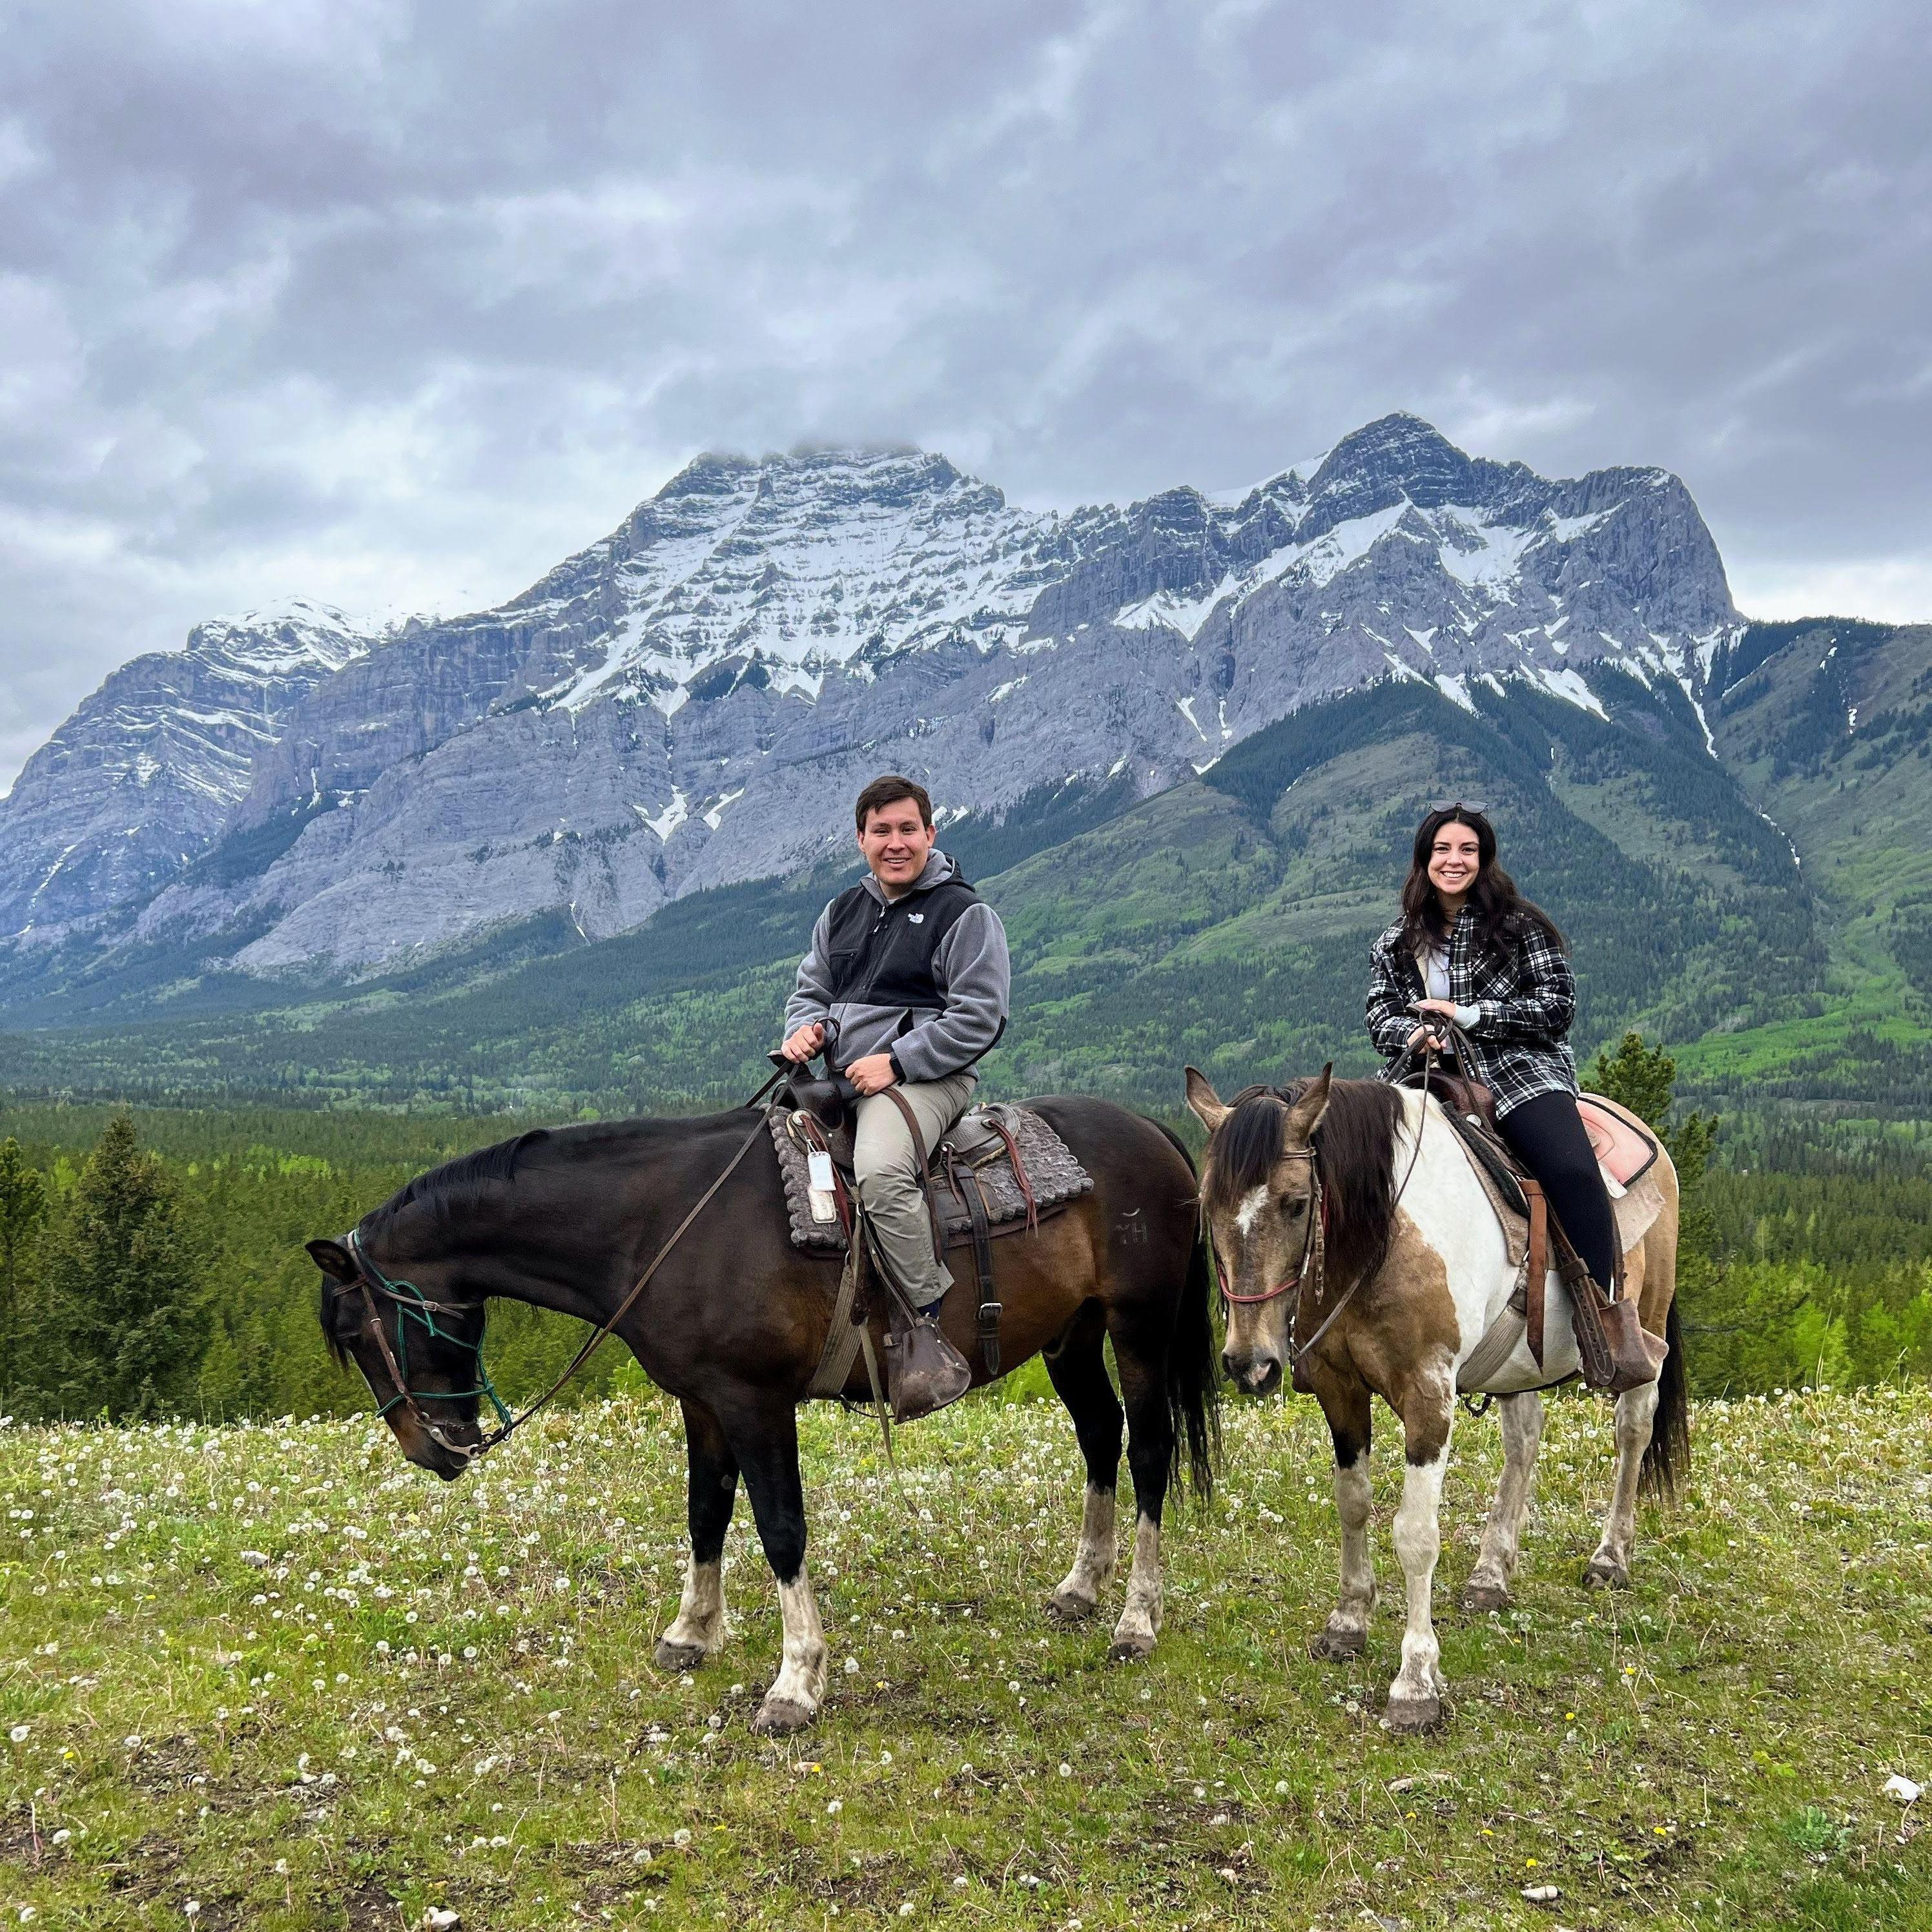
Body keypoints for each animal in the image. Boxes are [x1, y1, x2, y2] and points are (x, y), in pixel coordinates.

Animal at [309, 1097, 1213, 1746]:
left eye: (353, 1331)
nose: (433, 1451)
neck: (659, 1226)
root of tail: (1151, 1132)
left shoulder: (755, 1400)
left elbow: (780, 1528)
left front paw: (796, 1681)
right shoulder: (702, 1400)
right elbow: (705, 1511)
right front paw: (690, 1633)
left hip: (1139, 1325)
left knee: (1148, 1451)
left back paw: (1136, 1617)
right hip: (1072, 1335)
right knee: (1099, 1436)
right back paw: (1080, 1587)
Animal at [1182, 1066, 1685, 1731]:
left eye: (1296, 1204)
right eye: (1207, 1205)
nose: (1250, 1364)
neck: (1382, 1241)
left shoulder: (1428, 1396)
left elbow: (1416, 1535)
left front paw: (1415, 1681)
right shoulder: (1341, 1390)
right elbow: (1353, 1505)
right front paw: (1348, 1622)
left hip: (1644, 1325)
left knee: (1633, 1432)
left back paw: (1610, 1557)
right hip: (1520, 1365)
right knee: (1523, 1443)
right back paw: (1492, 1574)